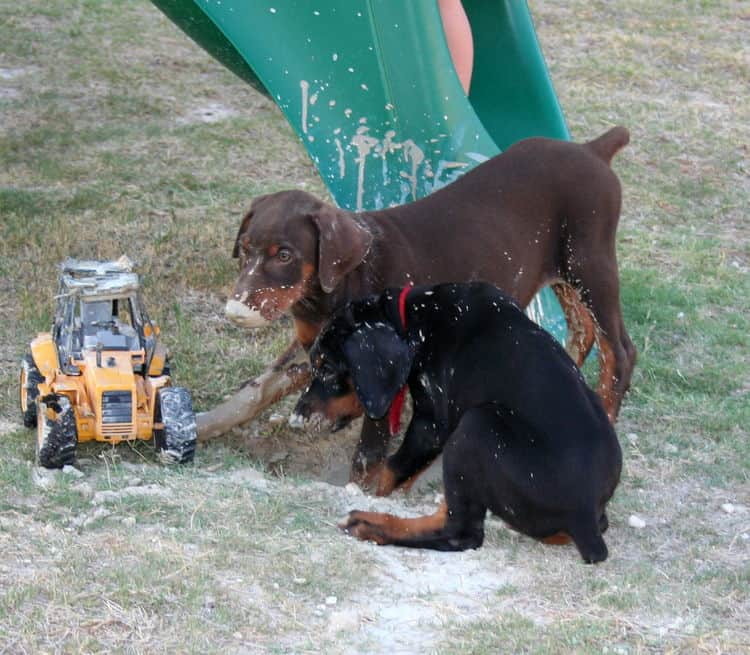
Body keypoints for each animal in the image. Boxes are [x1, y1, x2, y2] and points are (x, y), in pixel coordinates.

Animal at [226, 127, 636, 486]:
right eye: (243, 249)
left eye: (284, 255)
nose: (235, 308)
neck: (336, 287)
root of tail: (591, 149)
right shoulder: (316, 345)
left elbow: (368, 451)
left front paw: (359, 490)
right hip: (565, 276)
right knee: (581, 333)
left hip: (590, 264)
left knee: (618, 351)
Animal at [294, 282, 624, 564]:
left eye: (326, 367)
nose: (298, 416)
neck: (417, 317)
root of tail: (583, 512)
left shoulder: (431, 423)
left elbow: (392, 469)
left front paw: (376, 496)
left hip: (476, 426)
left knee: (460, 533)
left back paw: (368, 524)